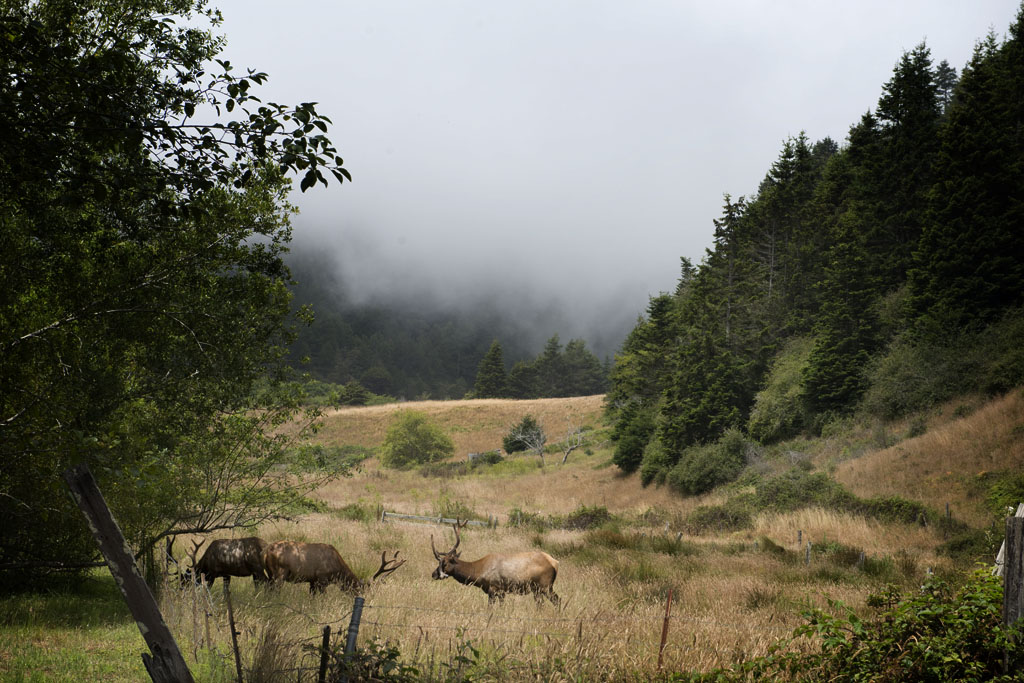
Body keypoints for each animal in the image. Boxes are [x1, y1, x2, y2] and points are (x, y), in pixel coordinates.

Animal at [262, 540, 405, 593]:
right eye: (360, 591)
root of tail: (266, 551)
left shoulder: (313, 580)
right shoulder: (322, 578)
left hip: (270, 574)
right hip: (280, 573)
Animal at [430, 520, 565, 606]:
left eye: (444, 563)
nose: (434, 574)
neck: (478, 572)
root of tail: (555, 563)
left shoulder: (495, 589)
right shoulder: (501, 592)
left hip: (545, 586)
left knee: (558, 601)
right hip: (537, 590)